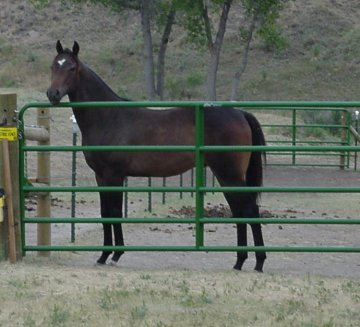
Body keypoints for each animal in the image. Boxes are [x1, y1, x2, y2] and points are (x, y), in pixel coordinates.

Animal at [46, 40, 268, 272]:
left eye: (72, 68)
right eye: (53, 66)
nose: (53, 94)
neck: (109, 117)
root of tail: (240, 113)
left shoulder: (114, 175)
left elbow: (115, 211)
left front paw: (116, 254)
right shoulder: (101, 176)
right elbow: (105, 212)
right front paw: (103, 255)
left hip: (229, 175)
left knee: (249, 209)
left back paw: (258, 262)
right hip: (226, 176)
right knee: (239, 210)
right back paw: (239, 261)